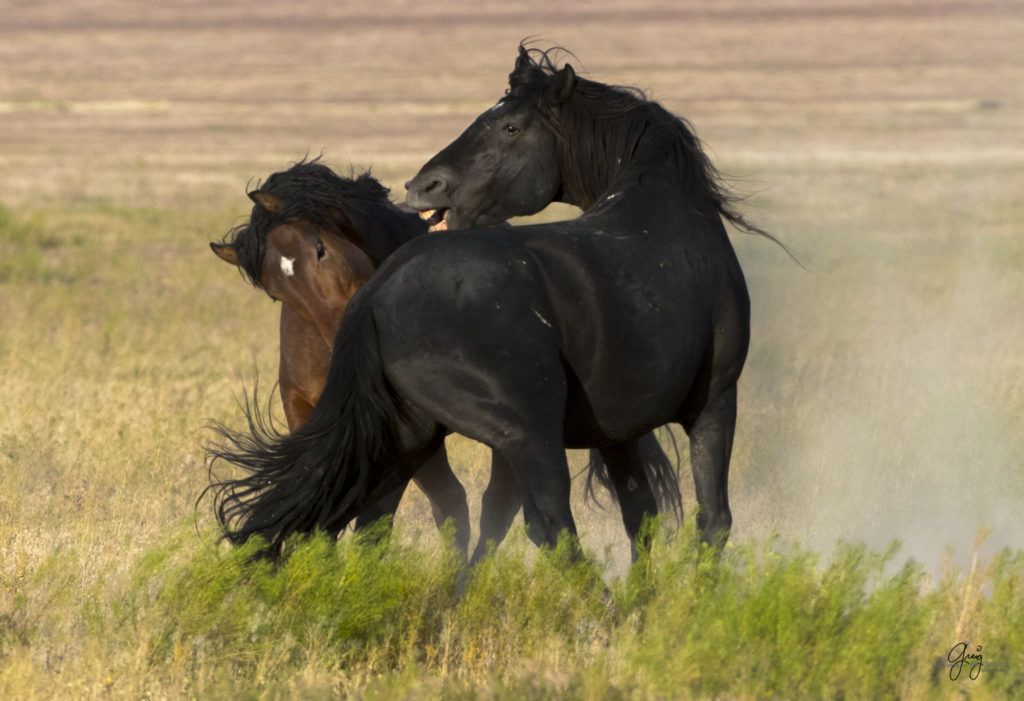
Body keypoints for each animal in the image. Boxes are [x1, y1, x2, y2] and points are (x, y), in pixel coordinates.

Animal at [207, 43, 757, 556]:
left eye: (511, 127)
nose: (422, 186)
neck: (663, 208)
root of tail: (378, 295)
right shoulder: (714, 402)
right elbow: (712, 520)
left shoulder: (621, 428)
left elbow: (642, 515)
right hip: (522, 436)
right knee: (544, 526)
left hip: (407, 439)